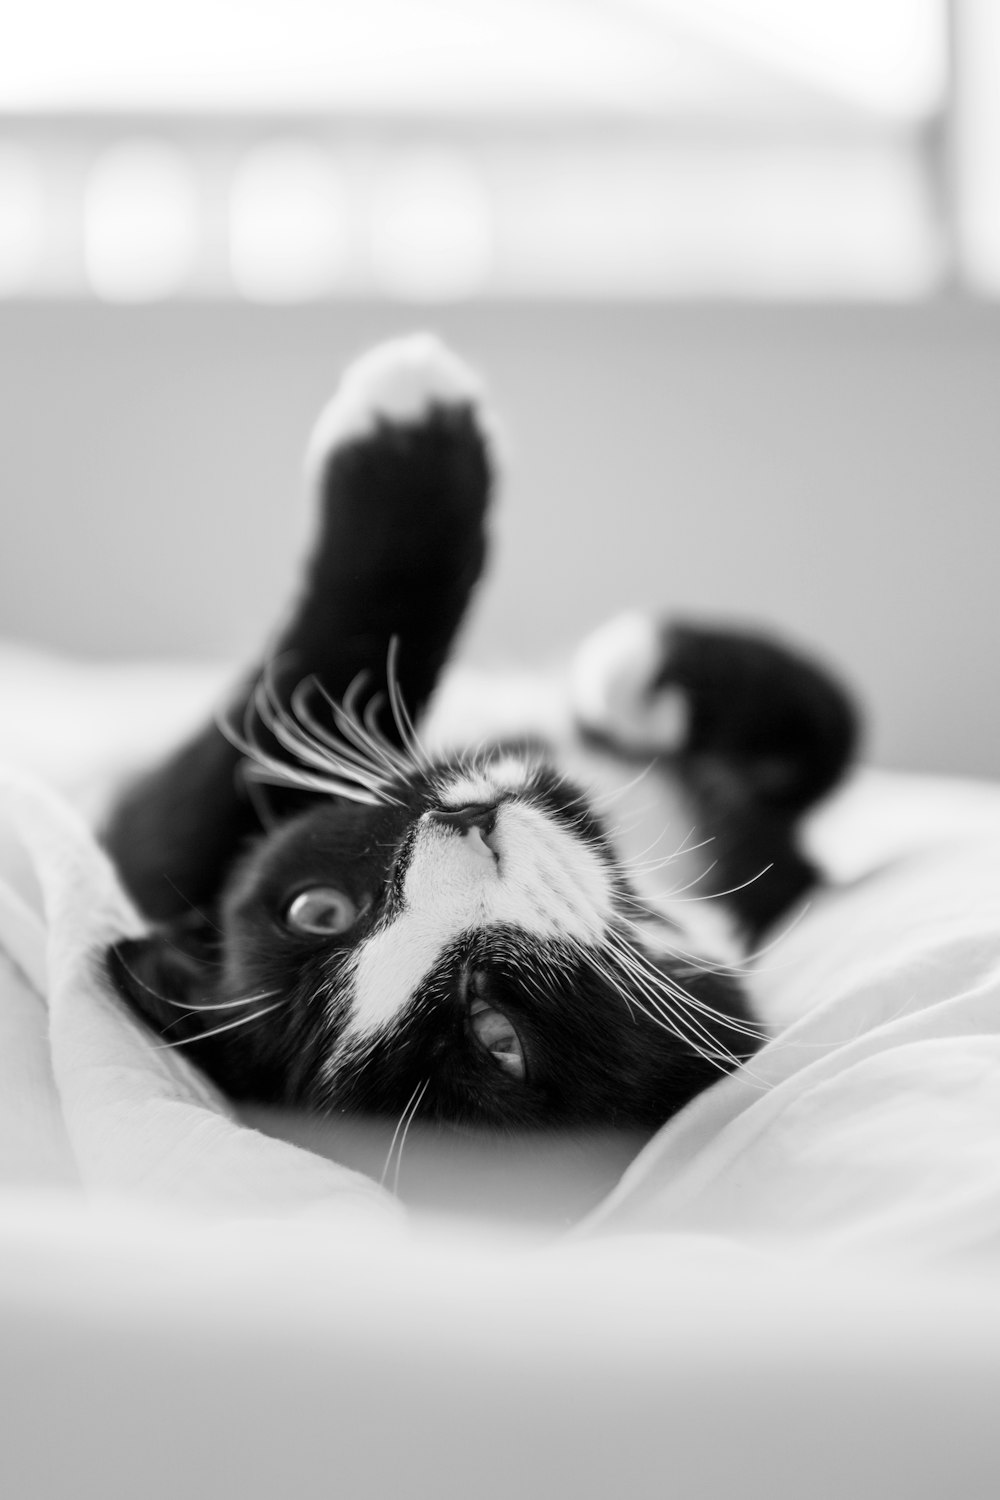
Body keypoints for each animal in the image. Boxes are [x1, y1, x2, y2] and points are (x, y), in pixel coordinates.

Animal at [103, 337, 863, 1134]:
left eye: (316, 910)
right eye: (497, 1038)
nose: (466, 825)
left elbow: (825, 733)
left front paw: (647, 677)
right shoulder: (140, 856)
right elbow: (247, 739)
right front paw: (411, 422)